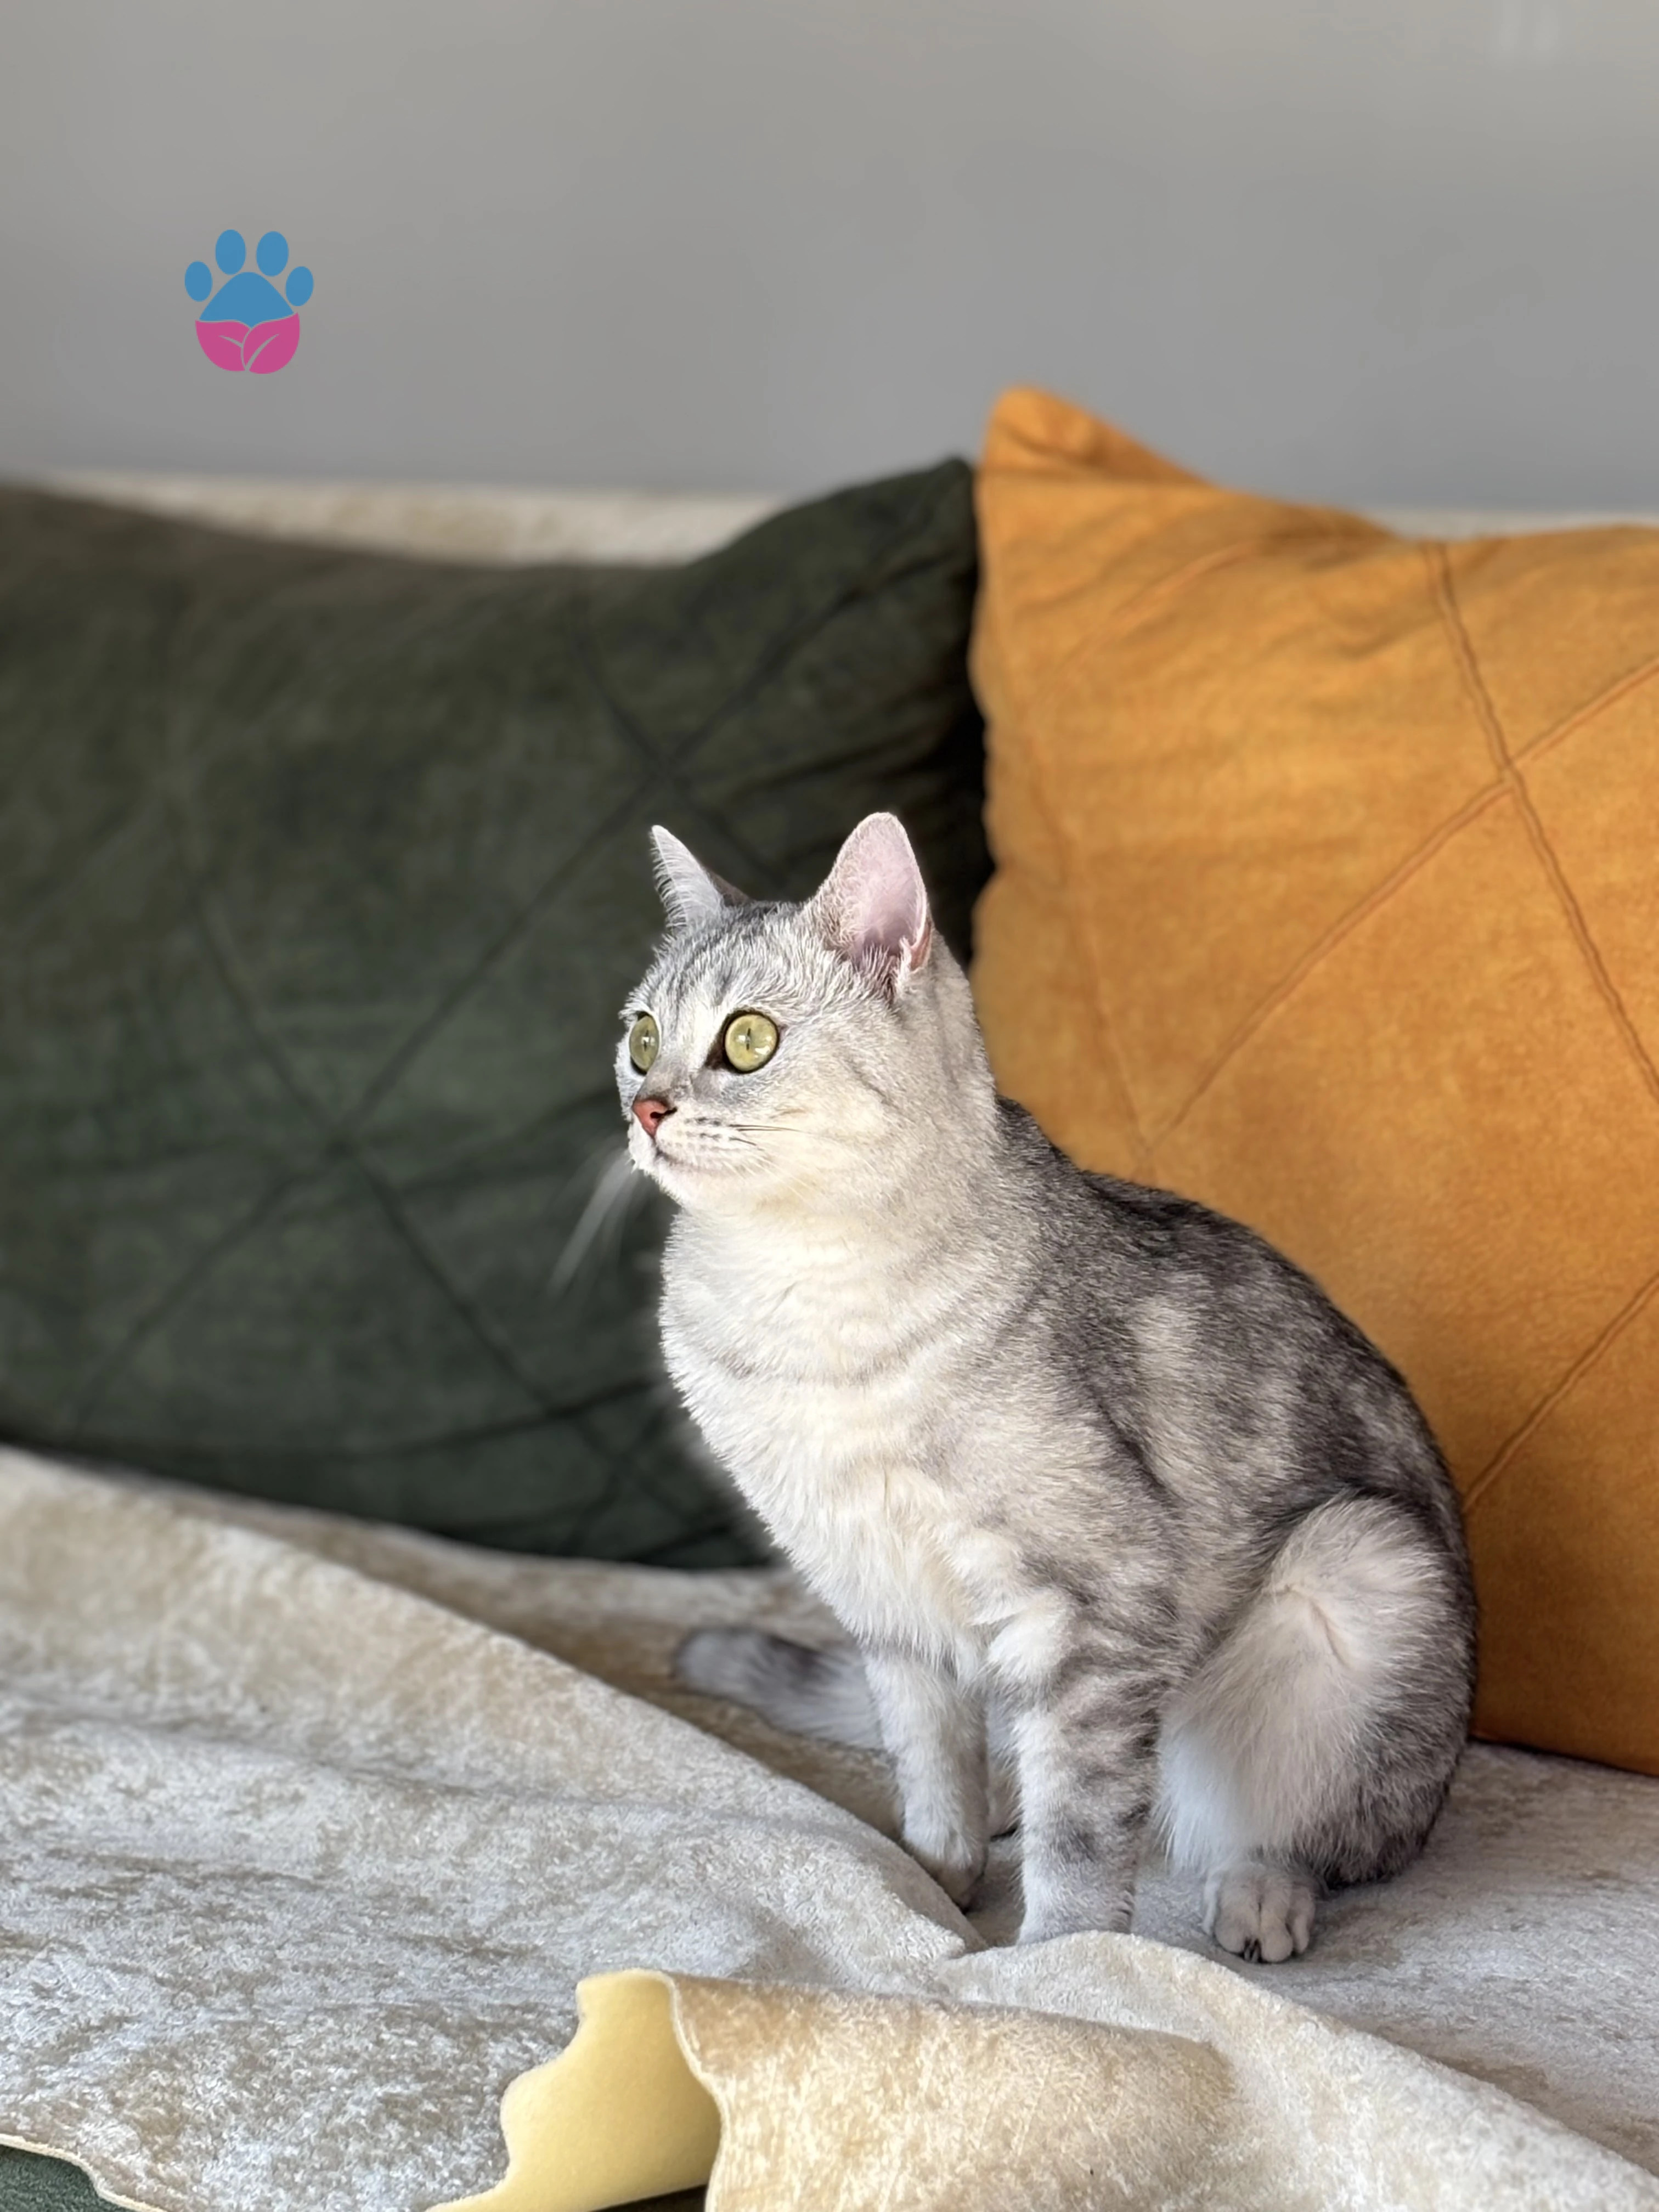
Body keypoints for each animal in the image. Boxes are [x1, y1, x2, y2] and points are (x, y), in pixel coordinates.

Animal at [617, 812, 1476, 1960]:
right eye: (639, 1037)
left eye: (746, 1040)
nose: (646, 1106)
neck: (798, 1305)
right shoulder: (880, 1593)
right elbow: (929, 1759)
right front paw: (934, 1873)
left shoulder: (1091, 1605)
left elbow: (1080, 1828)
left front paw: (1058, 1963)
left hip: (1357, 1569)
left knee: (1302, 1832)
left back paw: (1259, 1890)